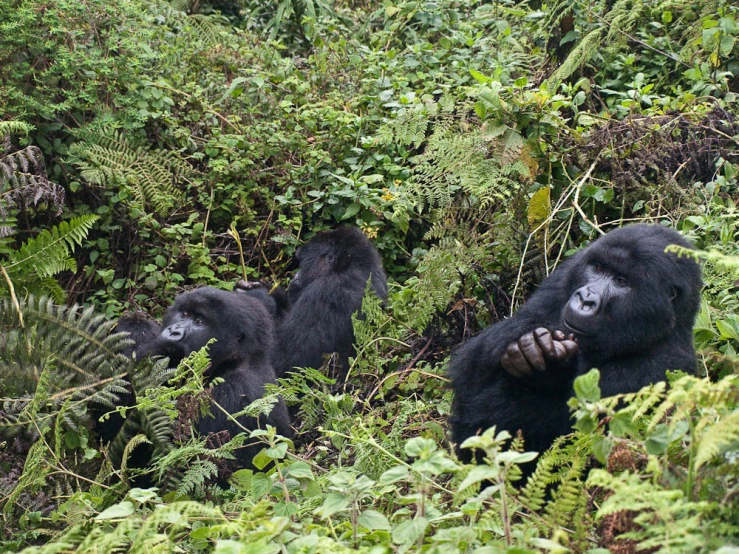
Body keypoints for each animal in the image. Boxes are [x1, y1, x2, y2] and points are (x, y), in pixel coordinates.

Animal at [448, 224, 704, 458]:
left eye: (622, 282)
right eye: (598, 268)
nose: (585, 298)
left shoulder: (661, 368)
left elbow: (577, 439)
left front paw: (549, 367)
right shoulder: (567, 273)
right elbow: (469, 367)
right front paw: (526, 345)